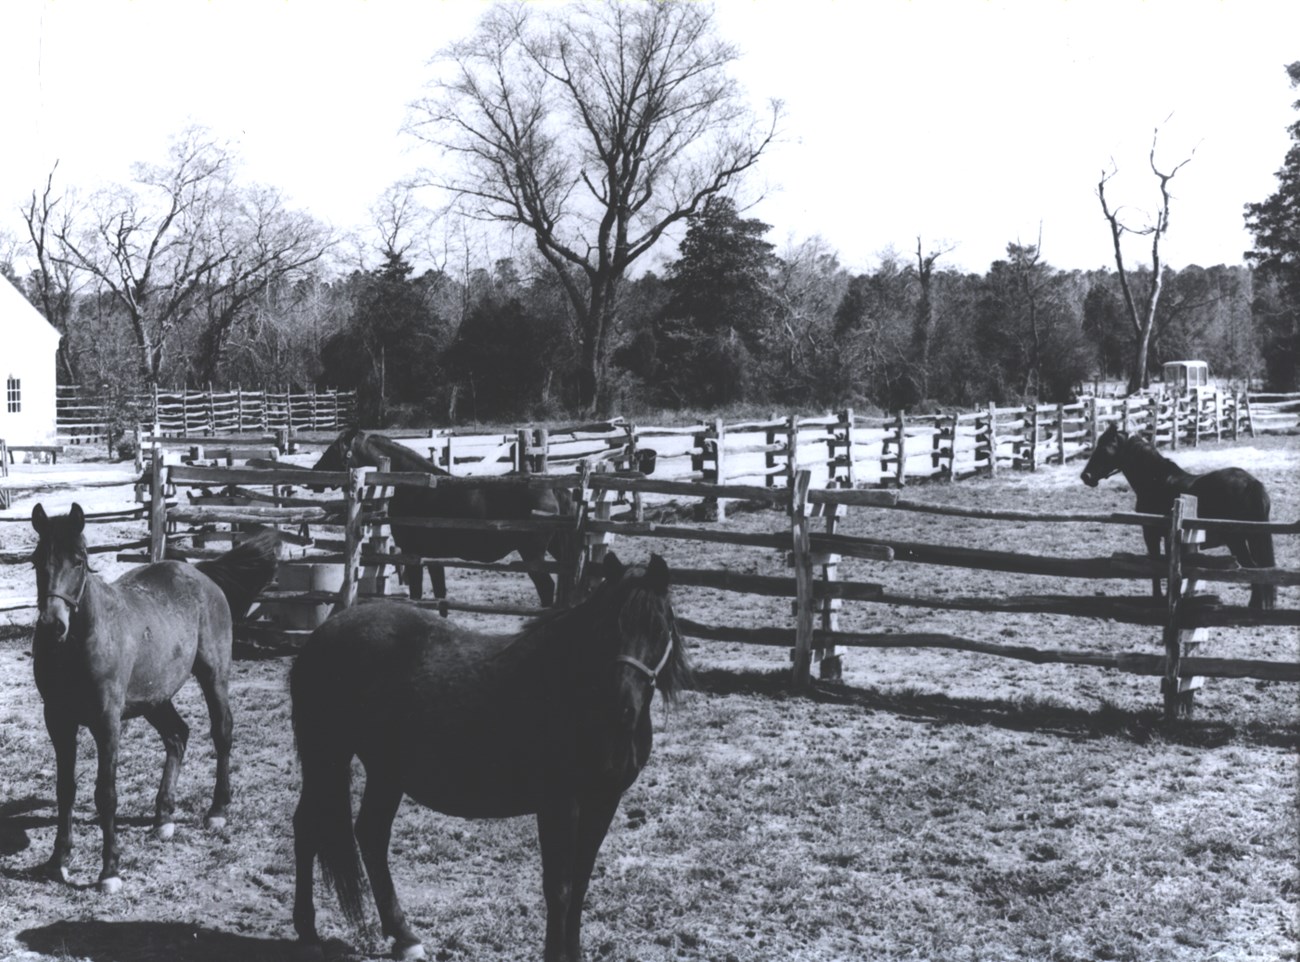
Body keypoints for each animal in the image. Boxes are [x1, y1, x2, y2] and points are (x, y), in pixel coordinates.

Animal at [29, 506, 279, 889]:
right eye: (36, 561)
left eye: (79, 561)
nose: (52, 625)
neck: (80, 642)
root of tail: (200, 573)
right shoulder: (57, 719)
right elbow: (65, 789)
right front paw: (58, 861)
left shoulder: (107, 721)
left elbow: (106, 793)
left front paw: (110, 870)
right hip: (155, 697)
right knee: (177, 736)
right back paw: (163, 817)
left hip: (213, 676)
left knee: (222, 732)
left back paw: (217, 811)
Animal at [287, 551, 691, 956]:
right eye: (608, 628)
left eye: (659, 629)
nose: (620, 709)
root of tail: (321, 636)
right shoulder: (560, 803)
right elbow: (558, 888)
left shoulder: (603, 801)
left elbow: (579, 884)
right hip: (327, 756)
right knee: (308, 826)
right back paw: (309, 933)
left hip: (386, 771)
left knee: (370, 834)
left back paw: (404, 937)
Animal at [309, 428, 574, 608]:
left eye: (333, 451)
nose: (313, 477)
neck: (412, 487)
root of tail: (553, 487)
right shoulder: (433, 559)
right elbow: (439, 596)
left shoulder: (413, 554)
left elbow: (417, 594)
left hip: (533, 555)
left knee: (547, 588)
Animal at [1081, 426, 1274, 608]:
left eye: (1104, 449)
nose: (1085, 476)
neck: (1156, 481)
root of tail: (1251, 483)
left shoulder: (1151, 534)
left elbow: (1156, 567)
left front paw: (1159, 598)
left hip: (1237, 540)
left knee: (1252, 569)